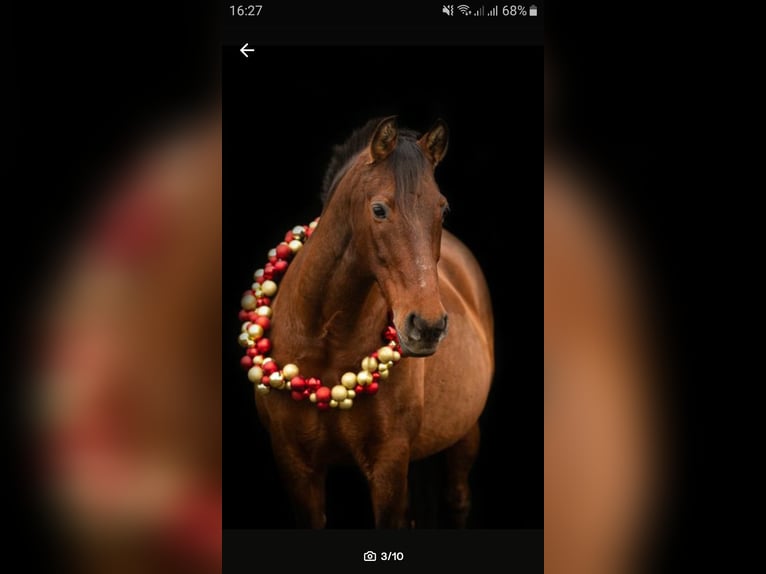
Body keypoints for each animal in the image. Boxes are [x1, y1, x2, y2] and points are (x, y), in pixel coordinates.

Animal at [254, 117, 494, 528]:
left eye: (443, 210)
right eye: (379, 209)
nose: (427, 326)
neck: (326, 342)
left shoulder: (388, 466)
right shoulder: (296, 467)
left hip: (465, 435)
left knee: (458, 499)